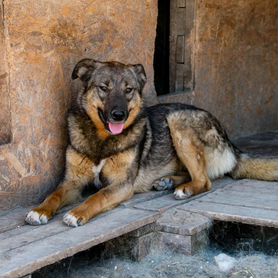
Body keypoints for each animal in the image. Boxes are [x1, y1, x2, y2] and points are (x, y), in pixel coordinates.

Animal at [25, 58, 278, 226]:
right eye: (104, 88)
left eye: (128, 90)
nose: (119, 115)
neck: (102, 140)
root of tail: (232, 145)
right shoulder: (72, 182)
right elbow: (54, 195)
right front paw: (40, 210)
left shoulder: (122, 185)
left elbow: (99, 196)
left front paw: (77, 213)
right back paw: (167, 181)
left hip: (177, 120)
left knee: (205, 180)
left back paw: (184, 189)